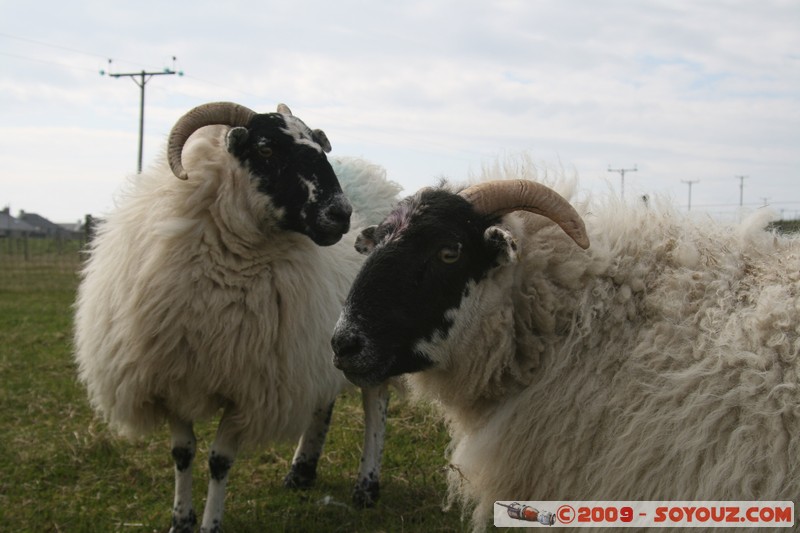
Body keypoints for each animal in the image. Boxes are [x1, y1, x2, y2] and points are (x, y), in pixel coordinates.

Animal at [75, 101, 400, 532]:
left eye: (319, 147)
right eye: (265, 149)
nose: (341, 215)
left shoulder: (246, 389)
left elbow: (219, 461)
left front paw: (210, 524)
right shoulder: (171, 378)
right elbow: (182, 453)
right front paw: (180, 520)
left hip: (369, 338)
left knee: (375, 404)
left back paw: (366, 486)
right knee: (322, 400)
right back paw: (301, 470)